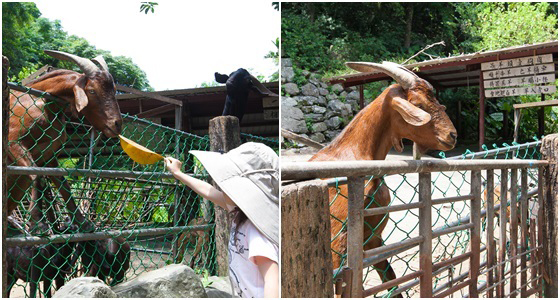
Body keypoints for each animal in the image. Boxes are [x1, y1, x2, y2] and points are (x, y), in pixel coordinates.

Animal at [7, 50, 122, 233]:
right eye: (91, 91)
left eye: (114, 90)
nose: (117, 124)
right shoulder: (13, 141)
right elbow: (36, 175)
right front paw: (39, 224)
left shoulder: (49, 155)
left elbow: (63, 184)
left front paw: (84, 222)